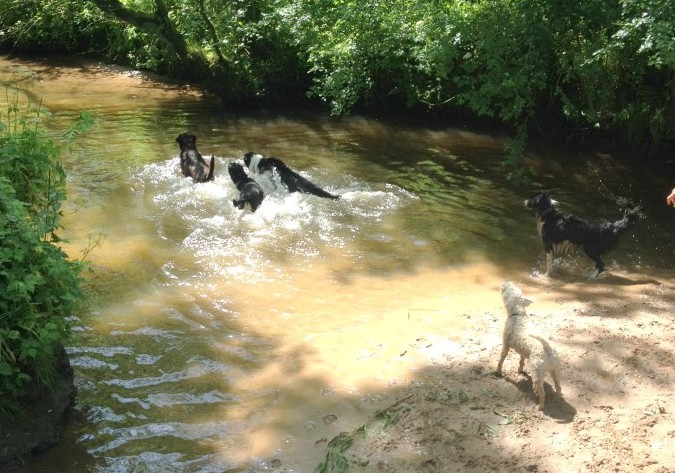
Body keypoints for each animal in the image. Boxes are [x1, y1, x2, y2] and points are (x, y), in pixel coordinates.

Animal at [500, 280, 564, 410]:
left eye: (510, 289)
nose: (506, 281)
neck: (517, 314)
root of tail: (547, 349)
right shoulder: (522, 351)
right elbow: (521, 359)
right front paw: (520, 369)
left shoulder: (506, 343)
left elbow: (502, 358)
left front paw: (497, 371)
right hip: (555, 369)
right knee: (558, 386)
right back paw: (557, 398)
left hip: (537, 373)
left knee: (542, 392)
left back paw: (540, 406)